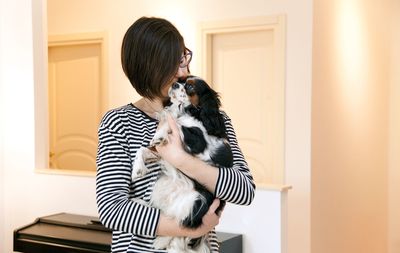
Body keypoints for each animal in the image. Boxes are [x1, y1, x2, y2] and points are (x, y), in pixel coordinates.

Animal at [132, 76, 231, 252]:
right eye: (180, 80)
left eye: (190, 86)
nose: (174, 84)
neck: (187, 110)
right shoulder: (161, 152)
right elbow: (142, 149)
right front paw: (137, 169)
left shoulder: (199, 144)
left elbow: (176, 124)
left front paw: (160, 133)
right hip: (163, 185)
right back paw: (140, 203)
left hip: (195, 200)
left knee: (184, 224)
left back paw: (162, 240)